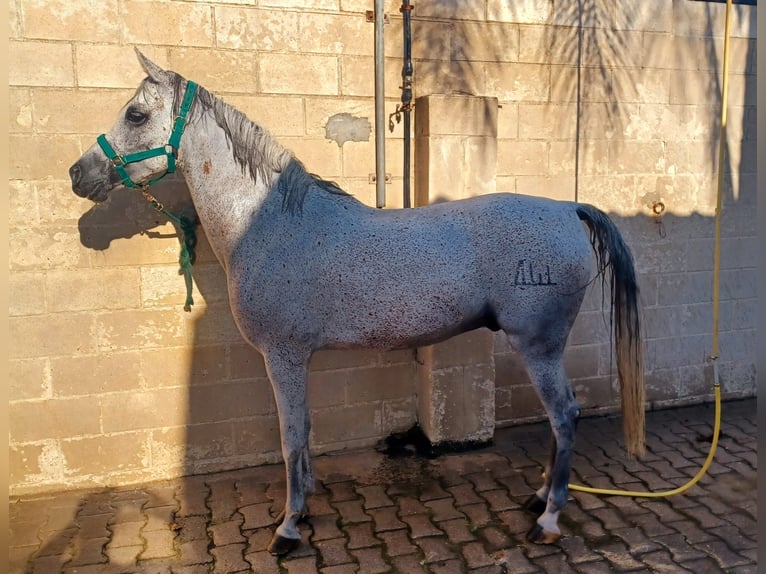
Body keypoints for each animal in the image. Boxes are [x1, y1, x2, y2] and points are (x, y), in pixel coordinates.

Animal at [70, 50, 648, 560]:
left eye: (136, 114)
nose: (79, 174)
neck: (269, 223)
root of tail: (567, 209)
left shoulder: (283, 357)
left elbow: (291, 437)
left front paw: (287, 528)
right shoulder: (294, 359)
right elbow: (303, 433)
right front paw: (303, 506)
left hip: (538, 346)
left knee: (565, 415)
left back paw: (548, 519)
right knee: (558, 420)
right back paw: (537, 498)